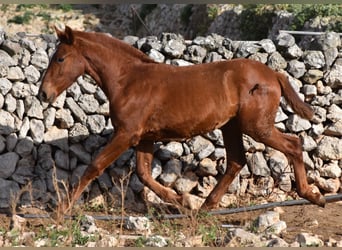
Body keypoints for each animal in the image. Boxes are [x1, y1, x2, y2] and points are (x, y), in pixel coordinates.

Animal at [38, 26, 324, 216]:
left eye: (60, 58)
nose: (43, 94)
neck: (128, 80)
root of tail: (273, 74)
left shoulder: (126, 133)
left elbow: (95, 166)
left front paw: (62, 209)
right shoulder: (144, 137)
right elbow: (143, 174)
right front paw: (181, 201)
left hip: (257, 127)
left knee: (293, 145)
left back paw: (312, 195)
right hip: (231, 127)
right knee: (236, 161)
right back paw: (206, 206)